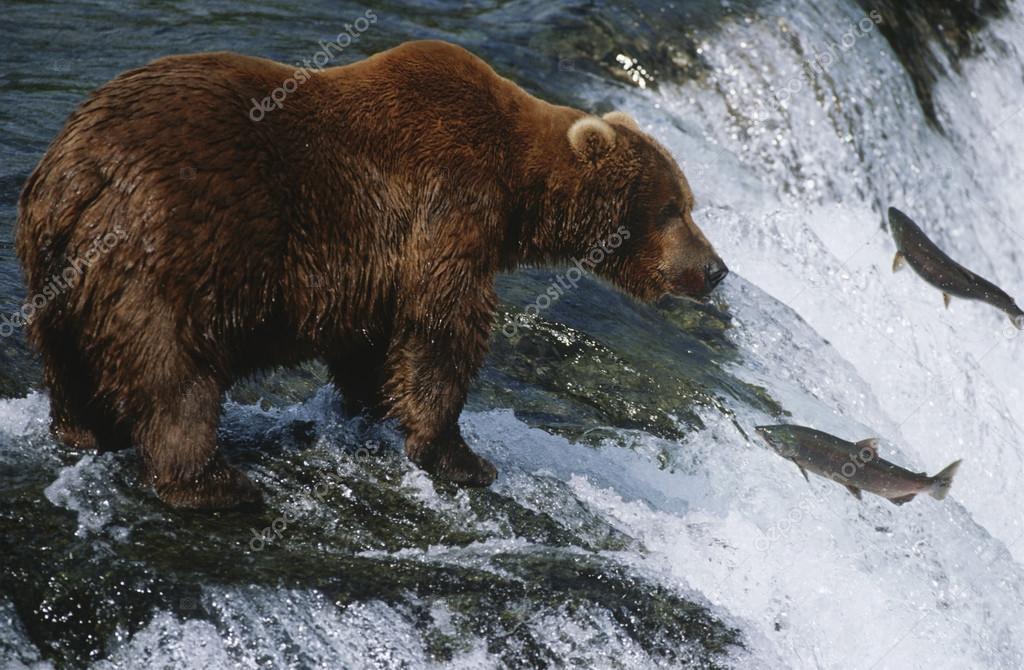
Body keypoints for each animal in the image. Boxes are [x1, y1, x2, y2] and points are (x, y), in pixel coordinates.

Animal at [16, 40, 727, 509]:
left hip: (55, 263)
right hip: (176, 248)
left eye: (690, 202)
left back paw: (84, 429)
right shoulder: (449, 203)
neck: (516, 187)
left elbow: (372, 340)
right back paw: (212, 482)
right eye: (673, 207)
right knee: (174, 369)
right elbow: (442, 326)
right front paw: (462, 457)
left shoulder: (373, 264)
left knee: (68, 356)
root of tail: (78, 168)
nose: (716, 269)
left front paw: (374, 407)